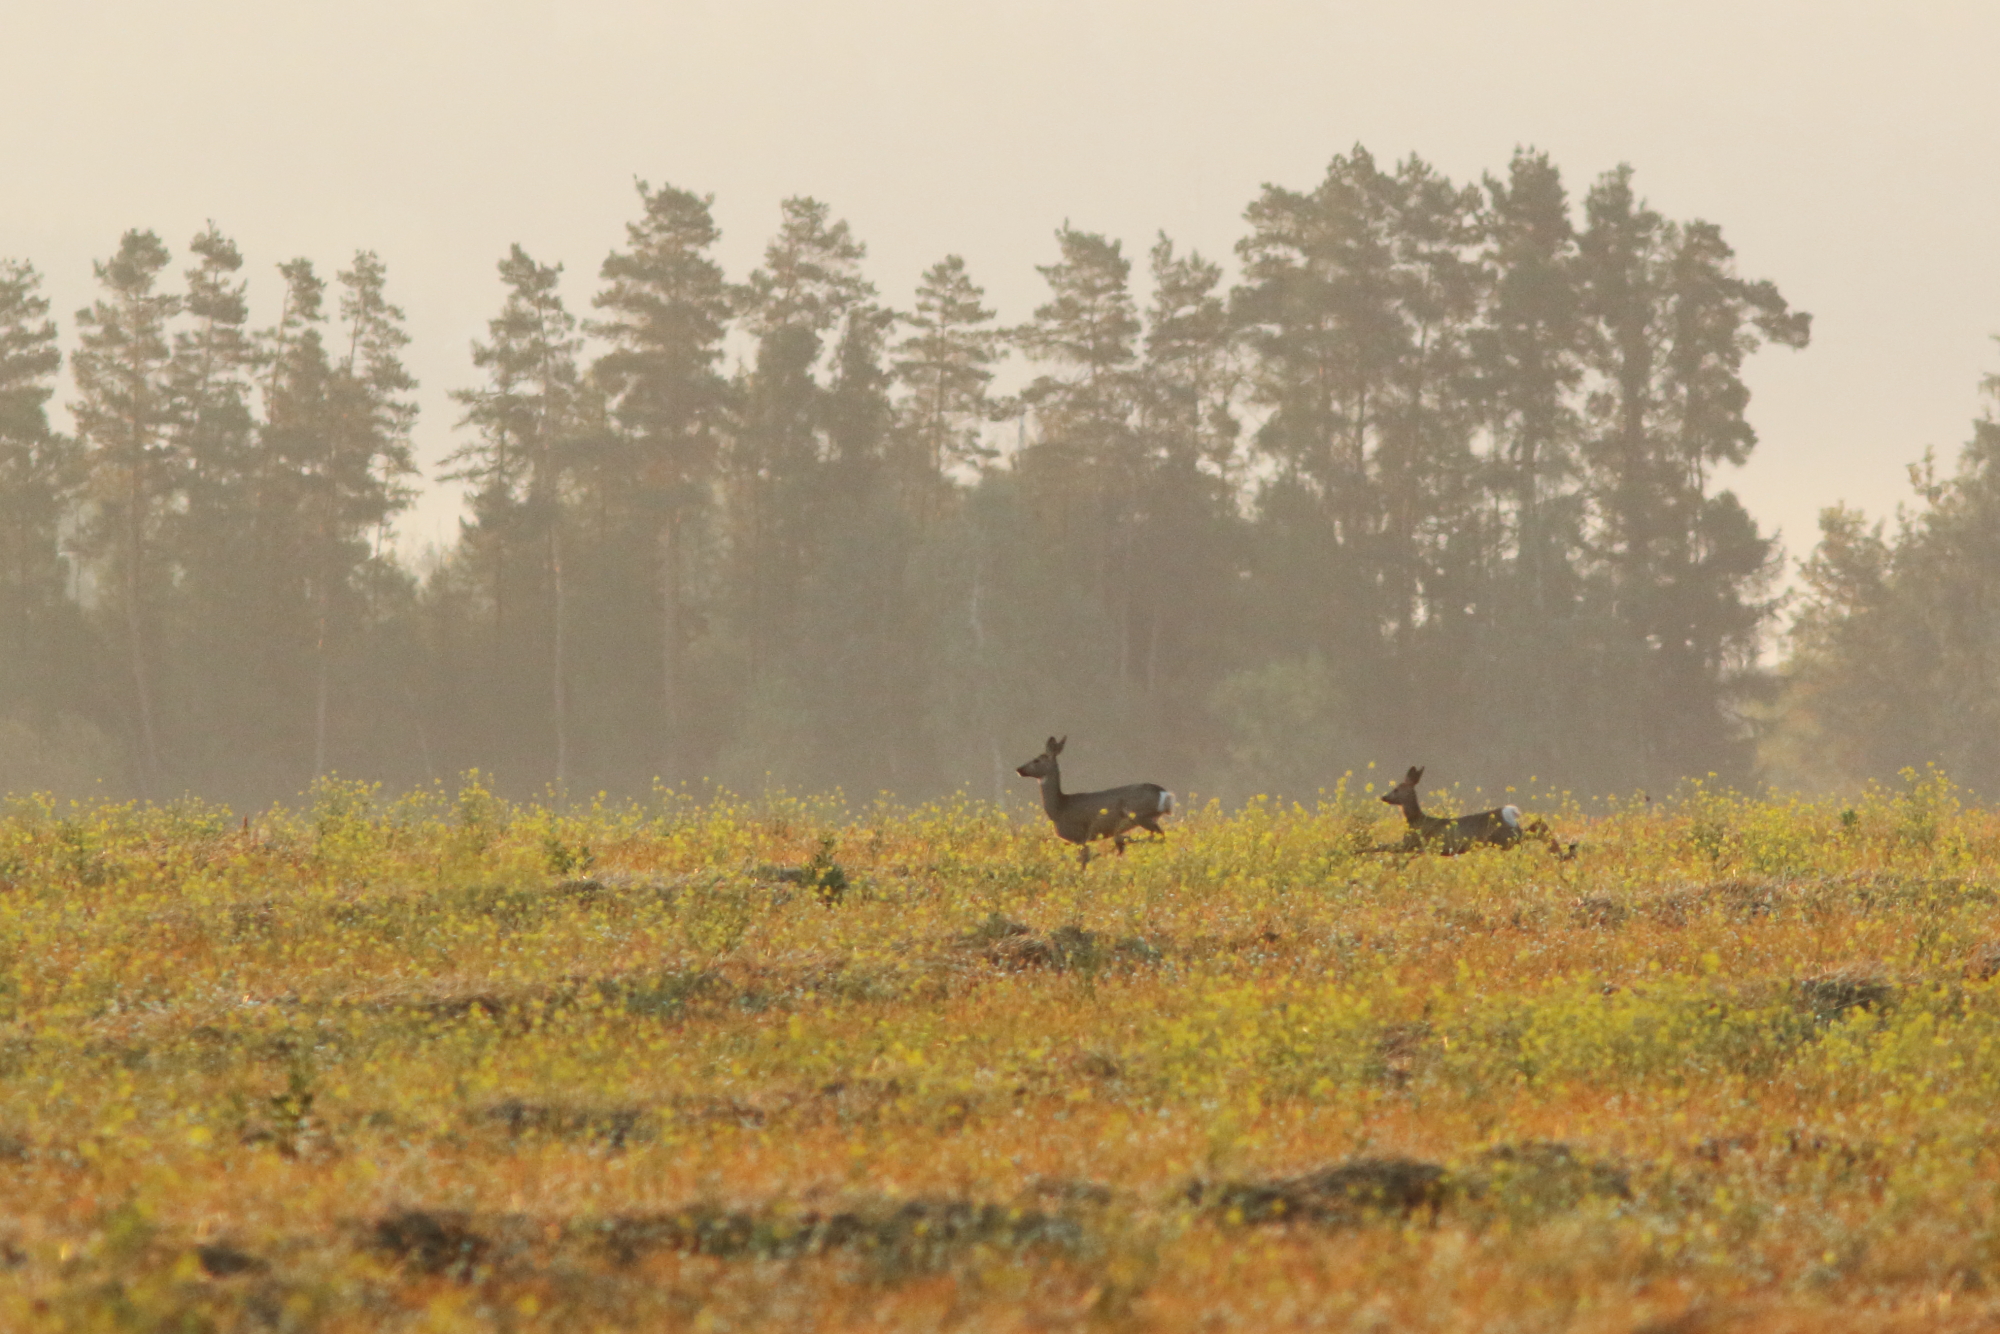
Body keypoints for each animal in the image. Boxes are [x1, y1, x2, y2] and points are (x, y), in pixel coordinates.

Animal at [1016, 736, 1168, 872]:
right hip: (1148, 818)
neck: (1059, 807)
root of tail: (1163, 793)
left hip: (1141, 815)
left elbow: (1082, 861)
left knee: (1160, 836)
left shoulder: (1079, 836)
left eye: (1036, 760)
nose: (1019, 769)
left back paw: (1123, 842)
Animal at [1376, 768, 1576, 860]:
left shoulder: (1412, 844)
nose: (1384, 796)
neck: (1417, 820)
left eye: (1396, 789)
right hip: (1508, 837)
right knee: (1539, 825)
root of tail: (1509, 811)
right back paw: (1564, 853)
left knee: (1538, 828)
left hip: (1506, 838)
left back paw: (1562, 853)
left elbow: (1381, 847)